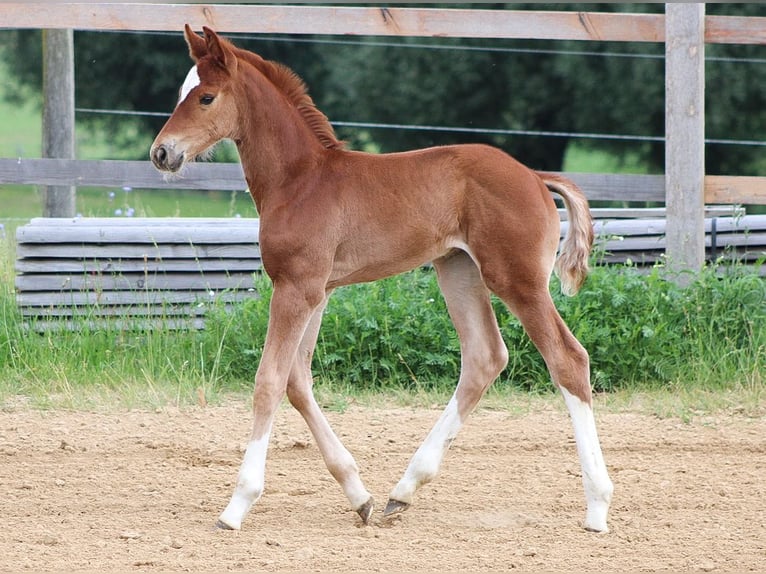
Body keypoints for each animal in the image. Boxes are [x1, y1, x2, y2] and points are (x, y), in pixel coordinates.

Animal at [153, 24, 616, 532]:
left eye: (207, 97)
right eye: (181, 93)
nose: (162, 152)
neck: (300, 181)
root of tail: (534, 176)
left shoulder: (296, 288)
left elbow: (269, 382)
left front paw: (237, 504)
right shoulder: (316, 291)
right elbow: (298, 381)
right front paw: (359, 495)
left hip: (517, 279)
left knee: (567, 359)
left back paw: (597, 506)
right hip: (458, 269)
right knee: (484, 357)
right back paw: (403, 490)